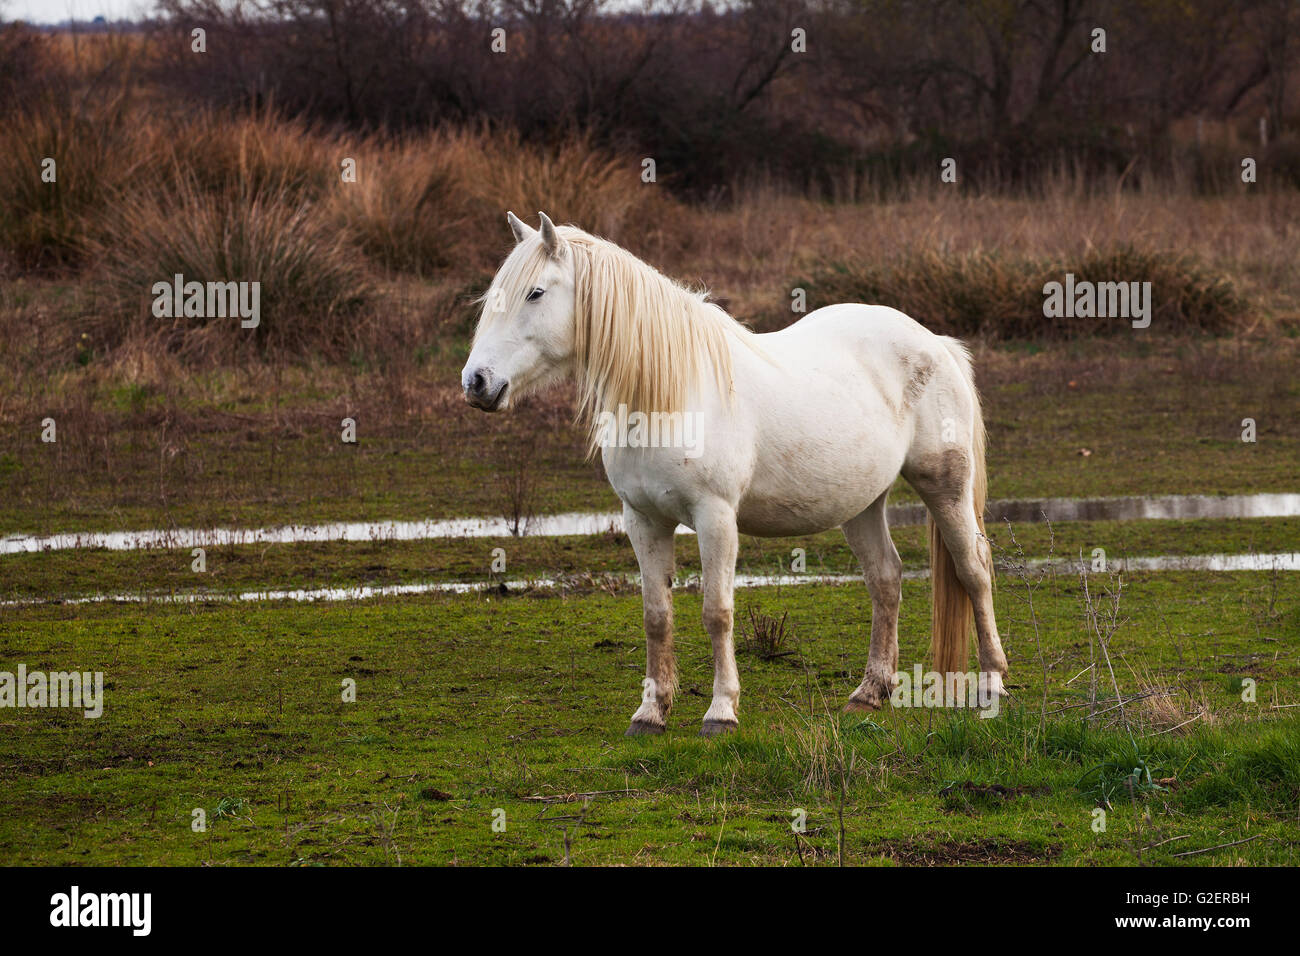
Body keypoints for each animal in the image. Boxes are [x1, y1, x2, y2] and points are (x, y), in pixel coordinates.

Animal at [462, 211, 1008, 736]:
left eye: (535, 293)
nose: (476, 383)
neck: (669, 392)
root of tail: (935, 341)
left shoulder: (715, 518)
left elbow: (717, 612)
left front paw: (721, 711)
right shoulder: (643, 520)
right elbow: (656, 616)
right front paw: (650, 713)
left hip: (945, 487)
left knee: (974, 571)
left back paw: (992, 684)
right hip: (862, 502)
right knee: (886, 579)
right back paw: (870, 693)